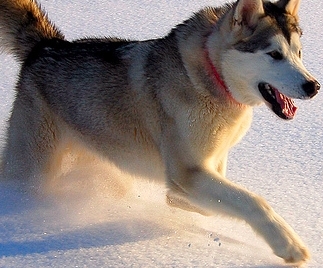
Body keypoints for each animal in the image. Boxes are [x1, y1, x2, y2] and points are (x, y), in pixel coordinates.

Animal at [0, 0, 320, 264]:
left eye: (299, 54)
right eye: (275, 54)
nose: (313, 86)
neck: (213, 78)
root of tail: (45, 45)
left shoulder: (207, 164)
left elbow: (204, 201)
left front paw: (176, 202)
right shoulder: (188, 171)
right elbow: (253, 202)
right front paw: (289, 245)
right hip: (32, 169)